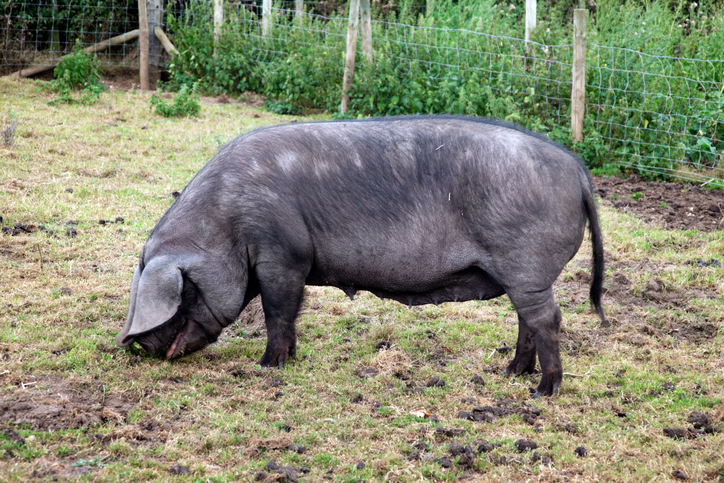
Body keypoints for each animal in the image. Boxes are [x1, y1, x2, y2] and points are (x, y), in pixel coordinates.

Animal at [116, 115, 605, 397]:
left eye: (182, 293)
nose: (141, 345)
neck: (226, 223)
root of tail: (577, 170)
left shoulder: (281, 256)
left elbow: (277, 311)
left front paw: (267, 366)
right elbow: (290, 313)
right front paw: (291, 359)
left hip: (526, 264)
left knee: (547, 319)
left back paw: (542, 391)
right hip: (520, 273)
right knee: (527, 320)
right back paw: (510, 373)